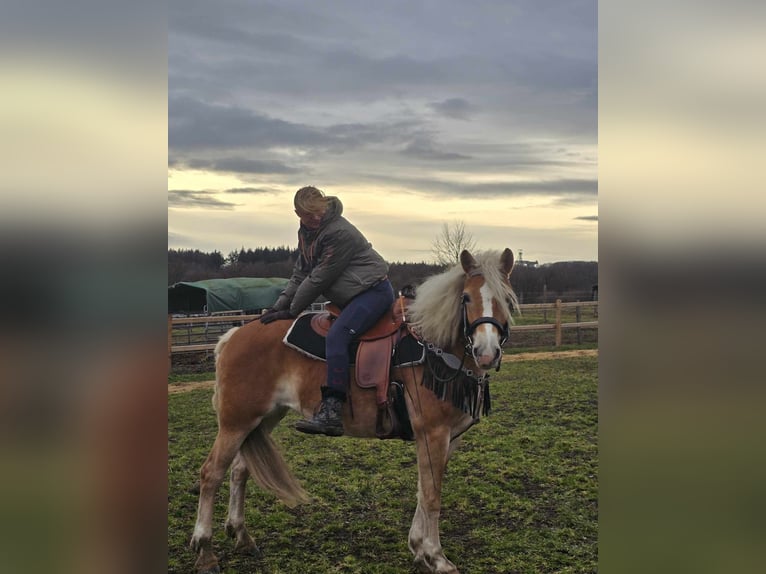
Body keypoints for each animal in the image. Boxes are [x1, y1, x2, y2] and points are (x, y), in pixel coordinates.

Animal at [190, 249, 520, 574]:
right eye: (466, 298)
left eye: (507, 298)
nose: (486, 352)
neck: (434, 349)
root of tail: (232, 336)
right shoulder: (433, 433)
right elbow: (431, 495)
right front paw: (436, 556)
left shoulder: (448, 438)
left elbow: (422, 490)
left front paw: (418, 548)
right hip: (235, 422)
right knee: (211, 473)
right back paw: (205, 550)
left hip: (262, 419)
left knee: (239, 470)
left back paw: (242, 536)